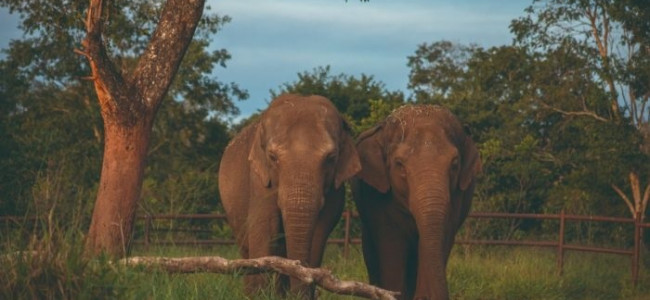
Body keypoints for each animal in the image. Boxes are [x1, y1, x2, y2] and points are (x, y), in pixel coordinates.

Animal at [218, 93, 360, 298]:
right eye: (272, 157)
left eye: (331, 158)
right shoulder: (259, 179)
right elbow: (266, 228)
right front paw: (260, 296)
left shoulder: (335, 187)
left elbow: (319, 232)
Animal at [350, 105, 480, 300]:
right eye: (399, 164)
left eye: (455, 163)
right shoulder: (378, 198)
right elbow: (391, 241)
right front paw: (393, 293)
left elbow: (442, 236)